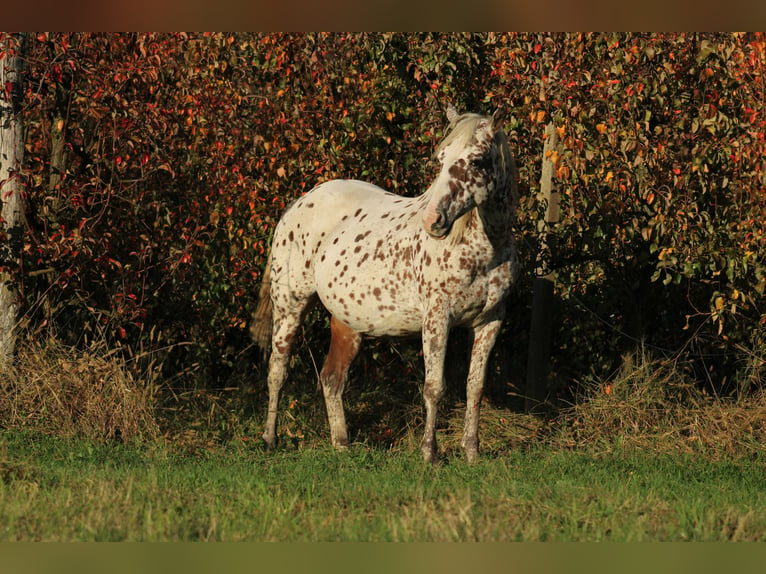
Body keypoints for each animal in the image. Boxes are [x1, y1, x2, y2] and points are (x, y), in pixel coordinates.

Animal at [252, 106, 520, 466]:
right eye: (441, 159)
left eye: (477, 161)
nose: (433, 221)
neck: (483, 251)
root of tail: (300, 202)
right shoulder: (437, 319)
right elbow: (434, 387)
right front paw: (430, 454)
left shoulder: (490, 321)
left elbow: (474, 388)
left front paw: (472, 453)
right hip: (290, 307)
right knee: (277, 370)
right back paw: (270, 439)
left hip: (348, 322)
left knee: (332, 379)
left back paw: (342, 444)